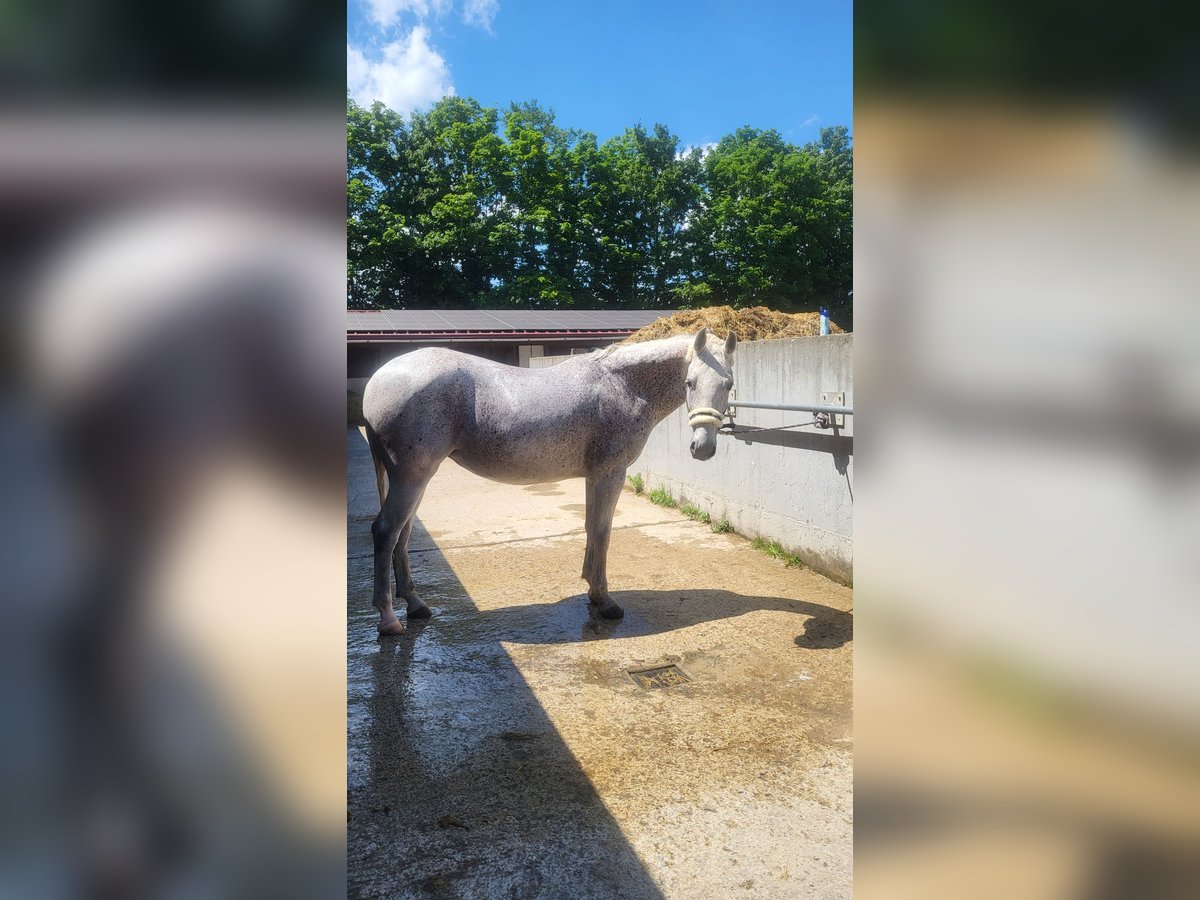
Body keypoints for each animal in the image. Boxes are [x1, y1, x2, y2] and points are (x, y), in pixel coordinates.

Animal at [360, 328, 734, 638]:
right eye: (690, 383)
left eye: (728, 384)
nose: (703, 447)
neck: (622, 385)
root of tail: (378, 379)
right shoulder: (611, 473)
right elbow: (603, 531)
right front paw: (605, 601)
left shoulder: (594, 476)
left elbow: (590, 527)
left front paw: (592, 591)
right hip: (412, 477)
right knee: (386, 531)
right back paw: (389, 619)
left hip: (414, 480)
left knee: (403, 534)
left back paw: (416, 605)